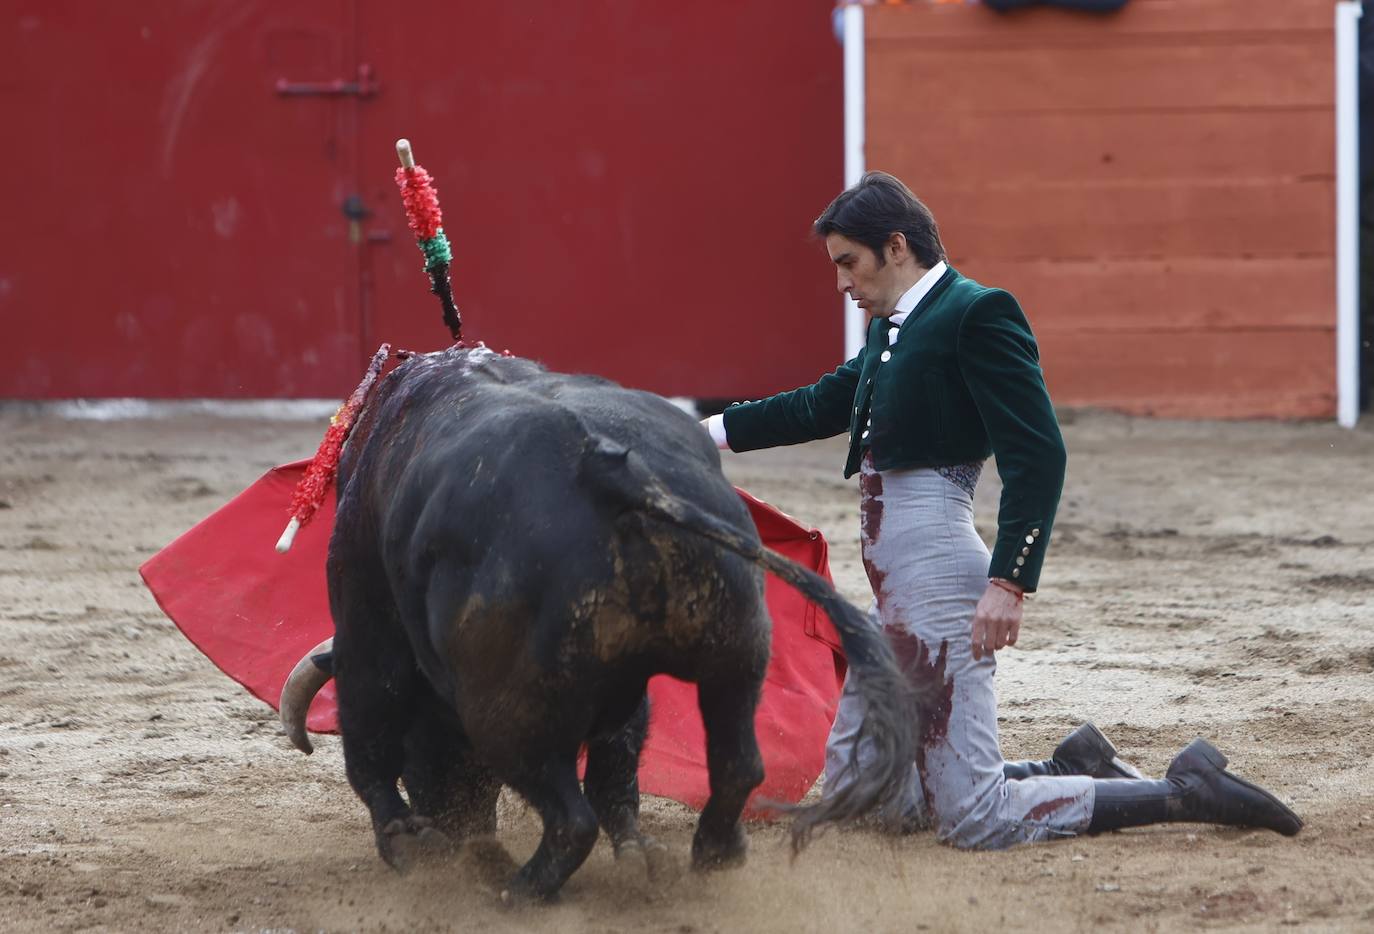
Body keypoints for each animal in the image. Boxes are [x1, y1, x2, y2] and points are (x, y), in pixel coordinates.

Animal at [280, 346, 917, 901]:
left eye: (424, 745)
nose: (461, 830)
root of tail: (611, 474)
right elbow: (620, 764)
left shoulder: (364, 610)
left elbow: (369, 733)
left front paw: (403, 844)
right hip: (735, 655)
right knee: (734, 765)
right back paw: (705, 855)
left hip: (504, 712)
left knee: (570, 816)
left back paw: (518, 889)